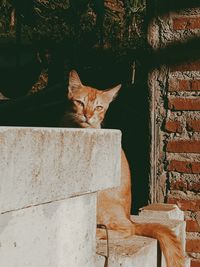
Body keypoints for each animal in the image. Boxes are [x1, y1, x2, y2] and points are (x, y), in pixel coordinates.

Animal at [61, 70, 184, 267]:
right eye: (80, 103)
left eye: (99, 107)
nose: (88, 115)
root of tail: (129, 217)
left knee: (128, 230)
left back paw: (98, 234)